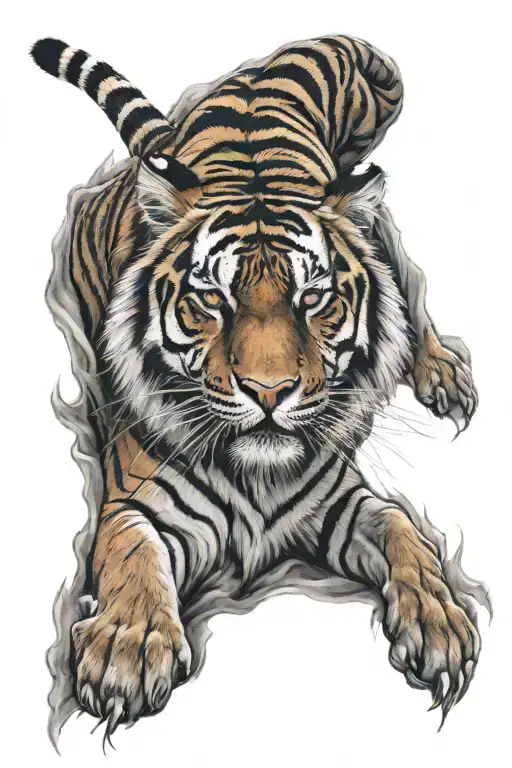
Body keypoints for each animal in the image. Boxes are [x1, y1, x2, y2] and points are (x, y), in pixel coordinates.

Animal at [31, 34, 488, 746]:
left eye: (313, 299)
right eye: (212, 300)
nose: (268, 391)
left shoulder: (339, 502)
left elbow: (401, 527)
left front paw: (439, 621)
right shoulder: (134, 503)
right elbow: (133, 552)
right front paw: (128, 649)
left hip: (373, 226)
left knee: (411, 296)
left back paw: (441, 374)